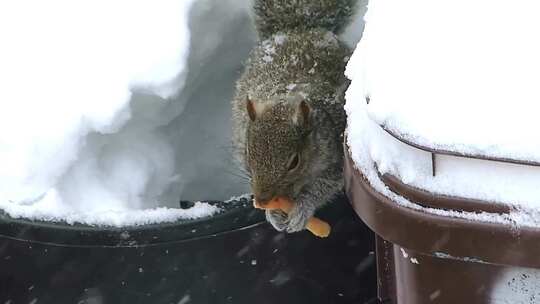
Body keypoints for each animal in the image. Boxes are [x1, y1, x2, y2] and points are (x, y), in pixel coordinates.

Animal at [231, 0, 354, 233]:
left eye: (294, 162)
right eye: (248, 154)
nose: (262, 200)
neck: (282, 99)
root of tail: (298, 29)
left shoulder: (337, 157)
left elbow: (324, 187)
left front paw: (302, 209)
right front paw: (272, 214)